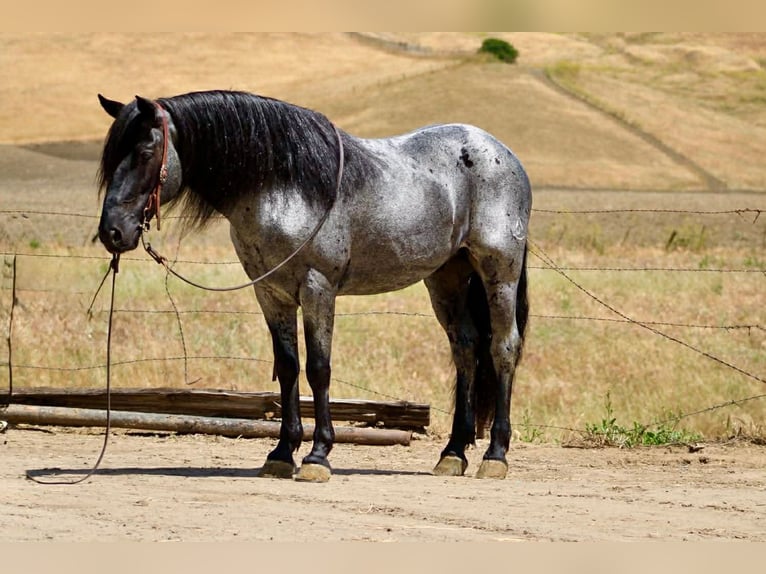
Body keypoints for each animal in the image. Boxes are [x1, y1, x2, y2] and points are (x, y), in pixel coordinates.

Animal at [96, 90, 531, 482]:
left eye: (145, 152)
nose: (112, 232)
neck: (281, 186)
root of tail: (502, 154)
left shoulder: (317, 287)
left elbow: (318, 368)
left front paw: (318, 456)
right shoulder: (271, 293)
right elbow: (288, 367)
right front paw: (281, 453)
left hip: (499, 272)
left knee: (503, 348)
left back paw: (495, 455)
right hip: (447, 278)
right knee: (466, 348)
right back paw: (453, 454)